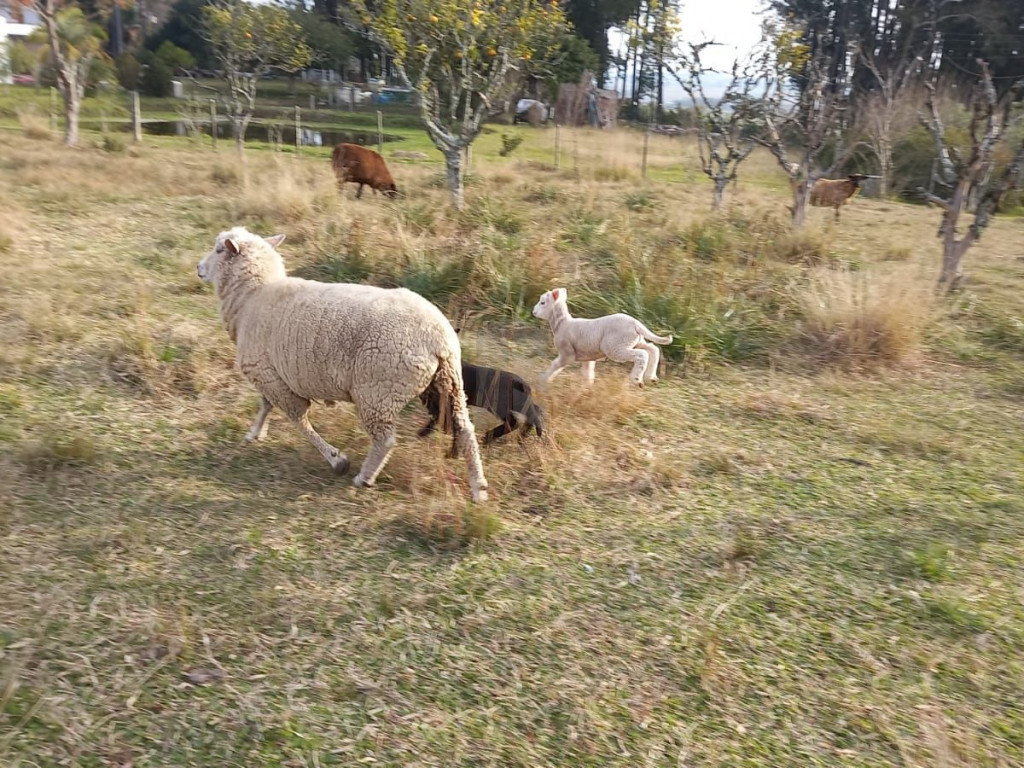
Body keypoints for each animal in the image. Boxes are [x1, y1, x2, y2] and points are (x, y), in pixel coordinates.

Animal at [199, 227, 491, 505]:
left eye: (218, 250)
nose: (199, 268)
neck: (253, 296)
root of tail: (439, 338)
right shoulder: (271, 374)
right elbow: (266, 406)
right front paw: (255, 433)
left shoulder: (269, 376)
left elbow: (298, 419)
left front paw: (336, 459)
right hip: (448, 384)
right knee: (465, 429)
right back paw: (479, 488)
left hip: (377, 390)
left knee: (385, 440)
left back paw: (365, 477)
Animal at [532, 286, 675, 387]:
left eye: (542, 302)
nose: (533, 311)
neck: (561, 323)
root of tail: (636, 323)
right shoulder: (588, 356)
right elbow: (588, 373)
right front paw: (587, 390)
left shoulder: (567, 353)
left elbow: (555, 366)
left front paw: (542, 381)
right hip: (635, 341)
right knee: (653, 349)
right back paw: (651, 377)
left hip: (616, 347)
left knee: (642, 354)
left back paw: (636, 379)